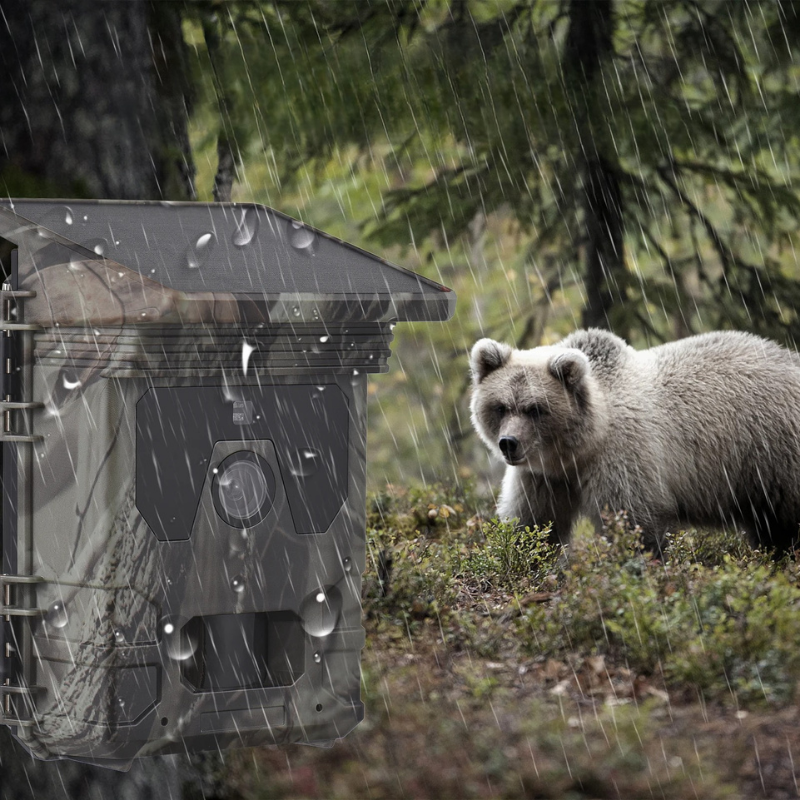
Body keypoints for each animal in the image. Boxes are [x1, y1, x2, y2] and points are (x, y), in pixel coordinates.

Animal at [469, 328, 800, 557]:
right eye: (501, 406)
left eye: (535, 408)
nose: (509, 443)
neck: (579, 449)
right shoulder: (543, 477)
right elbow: (532, 521)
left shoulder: (624, 456)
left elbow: (634, 521)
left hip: (770, 448)